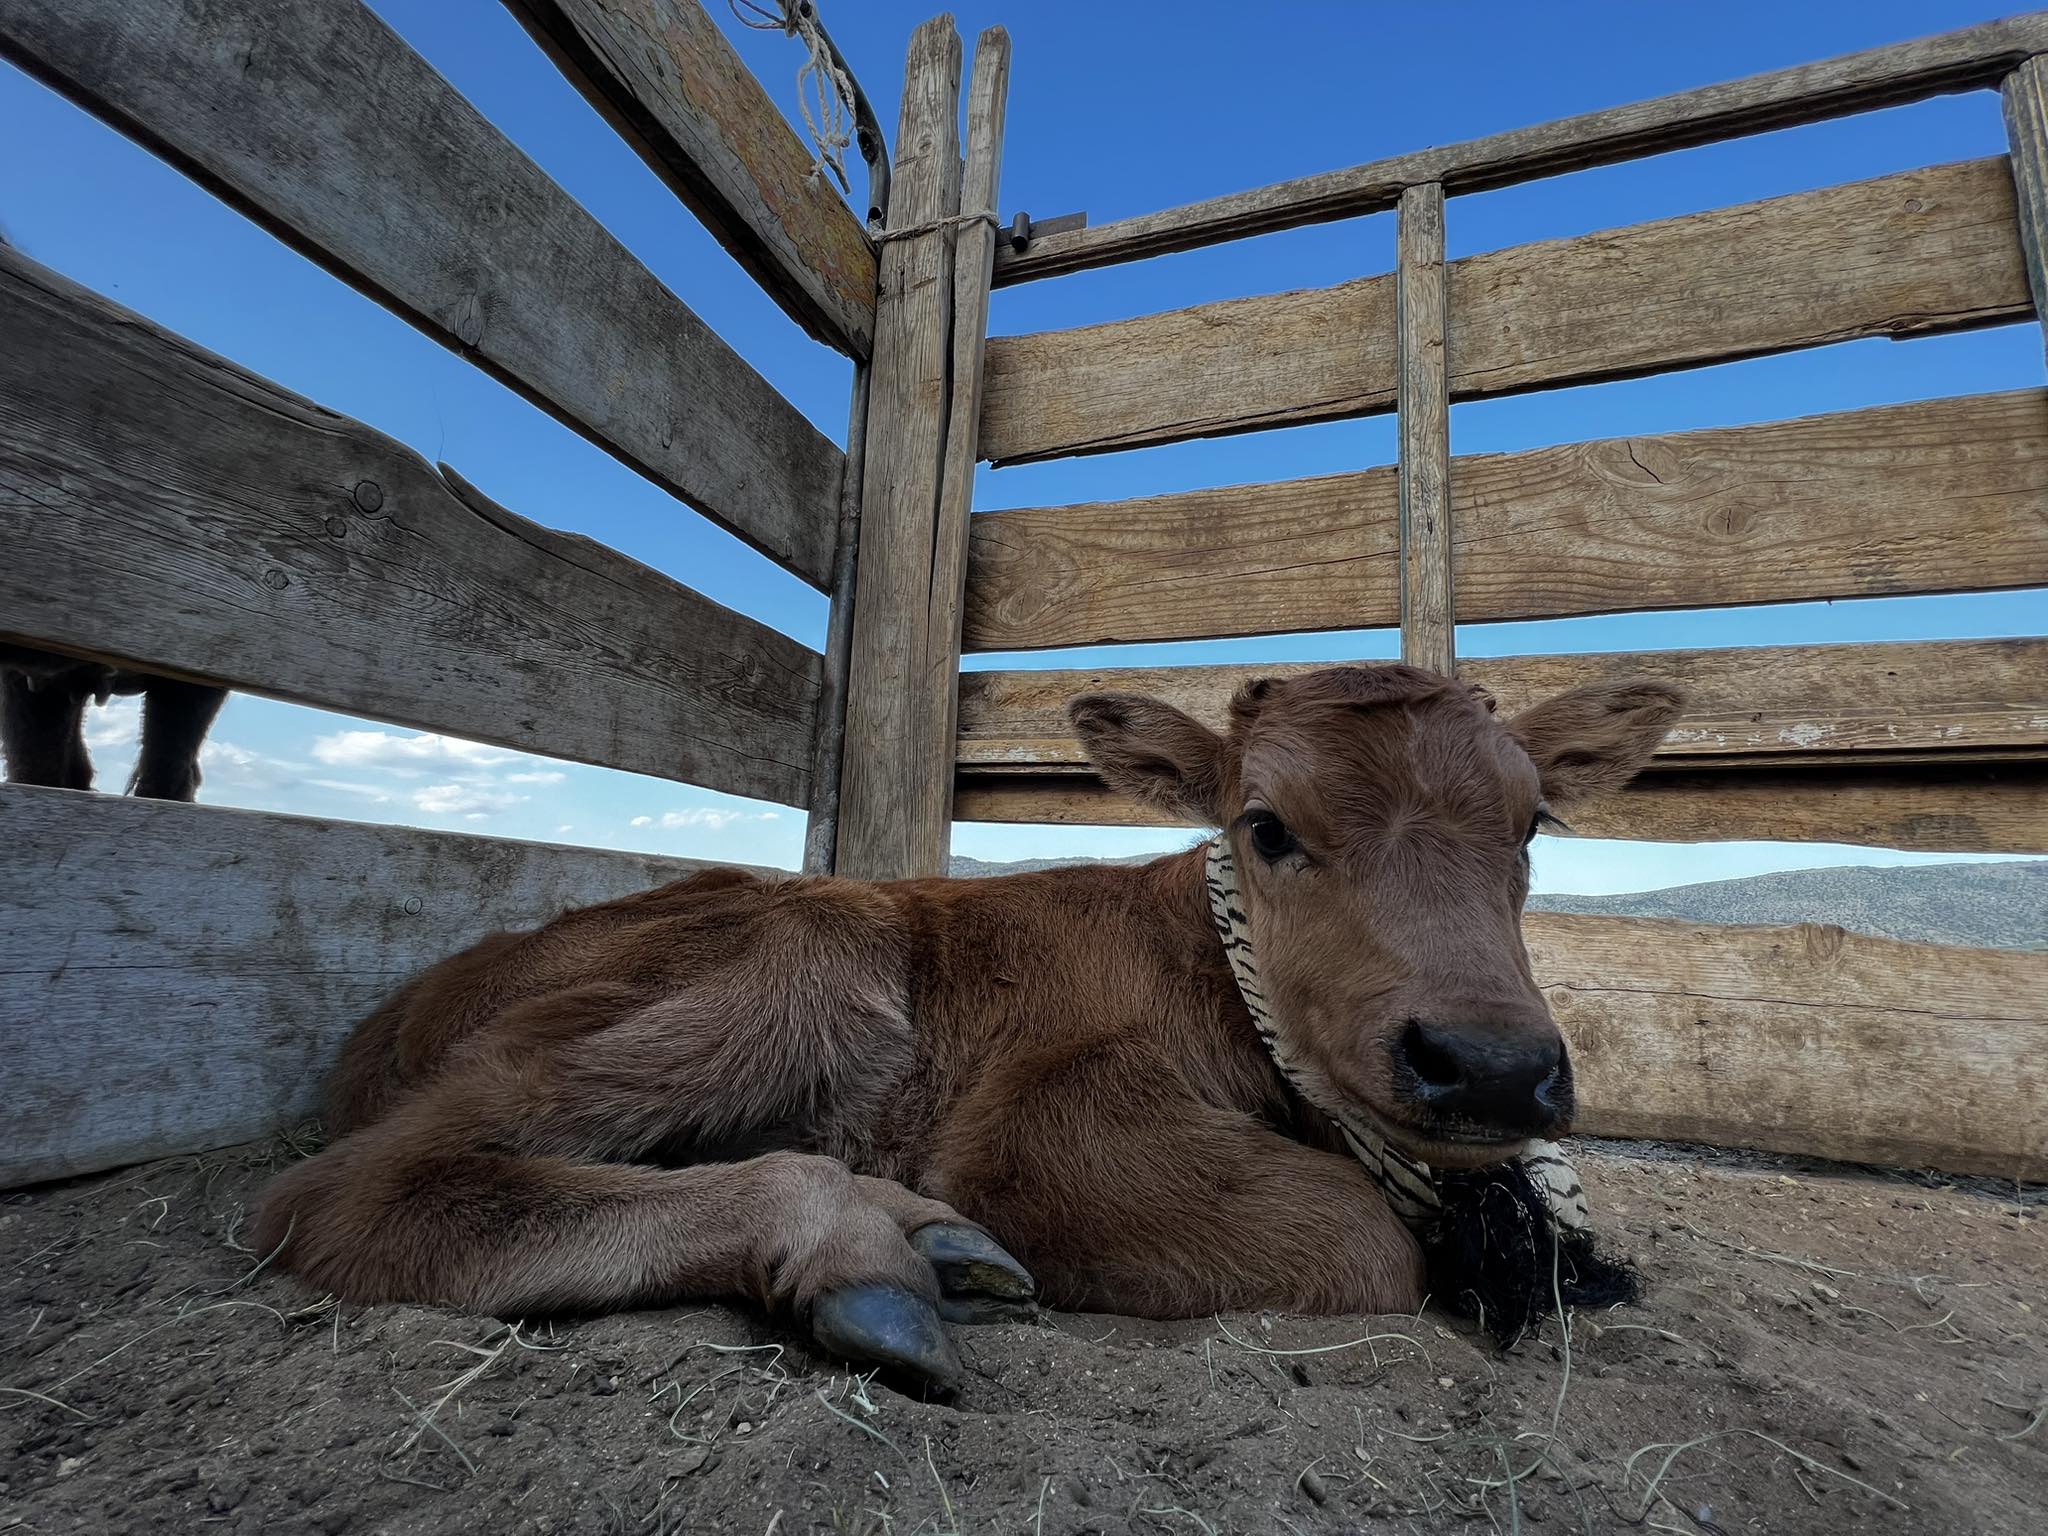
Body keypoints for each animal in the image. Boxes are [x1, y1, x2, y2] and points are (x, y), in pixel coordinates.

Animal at [257, 664, 1682, 1393]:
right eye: (1265, 827)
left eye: (1531, 824)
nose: (1487, 1065)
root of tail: (402, 1007)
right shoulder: (1045, 1122)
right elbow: (1362, 1242)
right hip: (796, 963)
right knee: (366, 1187)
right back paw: (864, 1244)